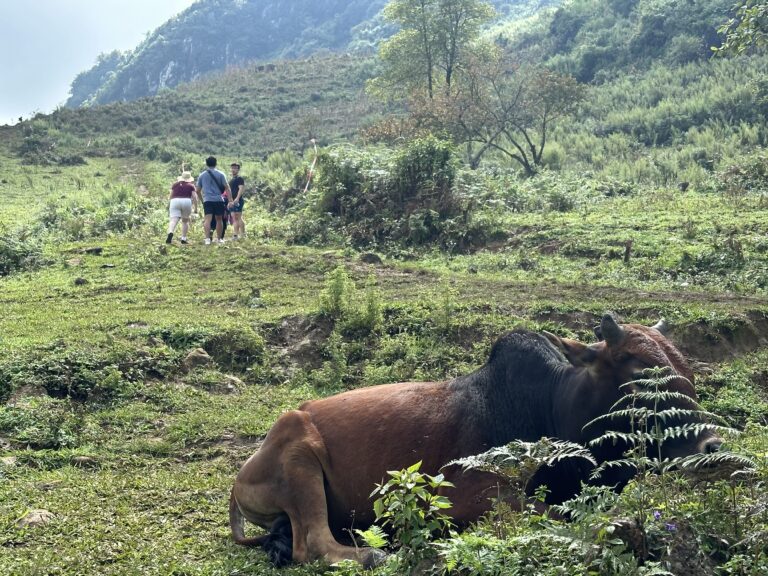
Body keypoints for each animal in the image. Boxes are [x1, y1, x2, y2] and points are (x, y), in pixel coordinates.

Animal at [229, 314, 721, 567]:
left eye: (687, 369)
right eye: (639, 374)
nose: (710, 447)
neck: (553, 406)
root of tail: (241, 477)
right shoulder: (465, 496)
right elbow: (549, 515)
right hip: (299, 450)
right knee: (312, 544)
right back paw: (375, 553)